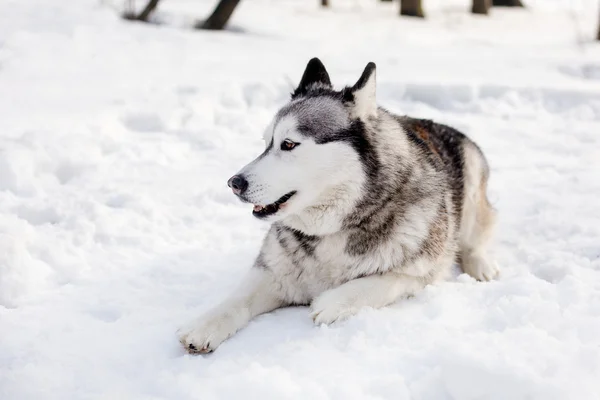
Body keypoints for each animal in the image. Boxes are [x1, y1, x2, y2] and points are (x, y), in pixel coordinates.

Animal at [177, 57, 496, 354]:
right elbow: (236, 299)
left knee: (476, 238)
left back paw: (482, 266)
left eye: (288, 144)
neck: (334, 228)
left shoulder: (423, 274)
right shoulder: (273, 273)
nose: (234, 183)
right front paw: (205, 323)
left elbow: (386, 280)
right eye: (266, 143)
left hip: (471, 187)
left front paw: (336, 300)